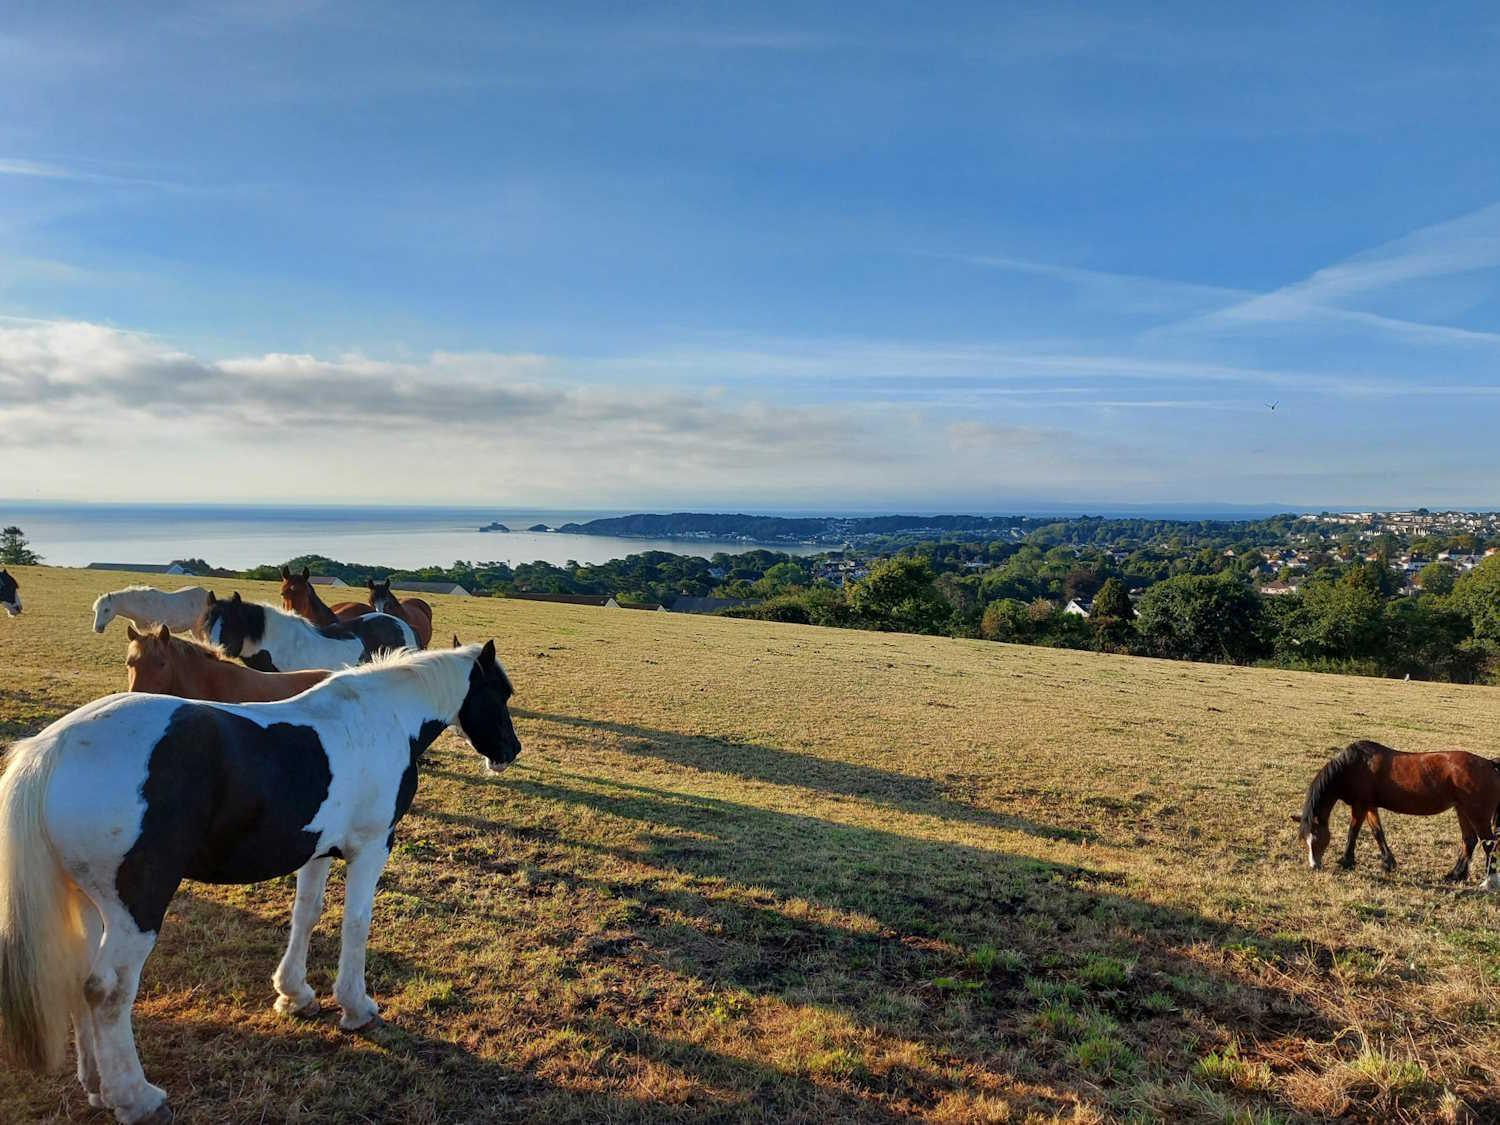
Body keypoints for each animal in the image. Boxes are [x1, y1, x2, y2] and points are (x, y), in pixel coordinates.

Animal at [0, 642, 522, 1125]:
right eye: (501, 693)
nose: (510, 751)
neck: (384, 717)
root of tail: (51, 749)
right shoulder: (372, 846)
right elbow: (356, 924)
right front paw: (356, 1007)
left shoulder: (318, 849)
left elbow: (306, 914)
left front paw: (295, 995)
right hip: (137, 906)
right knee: (107, 992)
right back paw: (136, 1098)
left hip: (87, 903)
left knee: (78, 979)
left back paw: (95, 1085)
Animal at [1290, 744, 1500, 888]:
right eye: (1304, 840)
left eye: (1317, 838)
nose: (1314, 866)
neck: (1354, 767)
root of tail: (1490, 764)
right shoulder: (1370, 806)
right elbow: (1378, 833)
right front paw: (1388, 863)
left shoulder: (1360, 805)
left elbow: (1353, 832)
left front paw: (1346, 861)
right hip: (1462, 810)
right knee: (1469, 841)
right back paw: (1455, 875)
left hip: (1476, 814)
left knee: (1489, 843)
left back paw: (1488, 881)